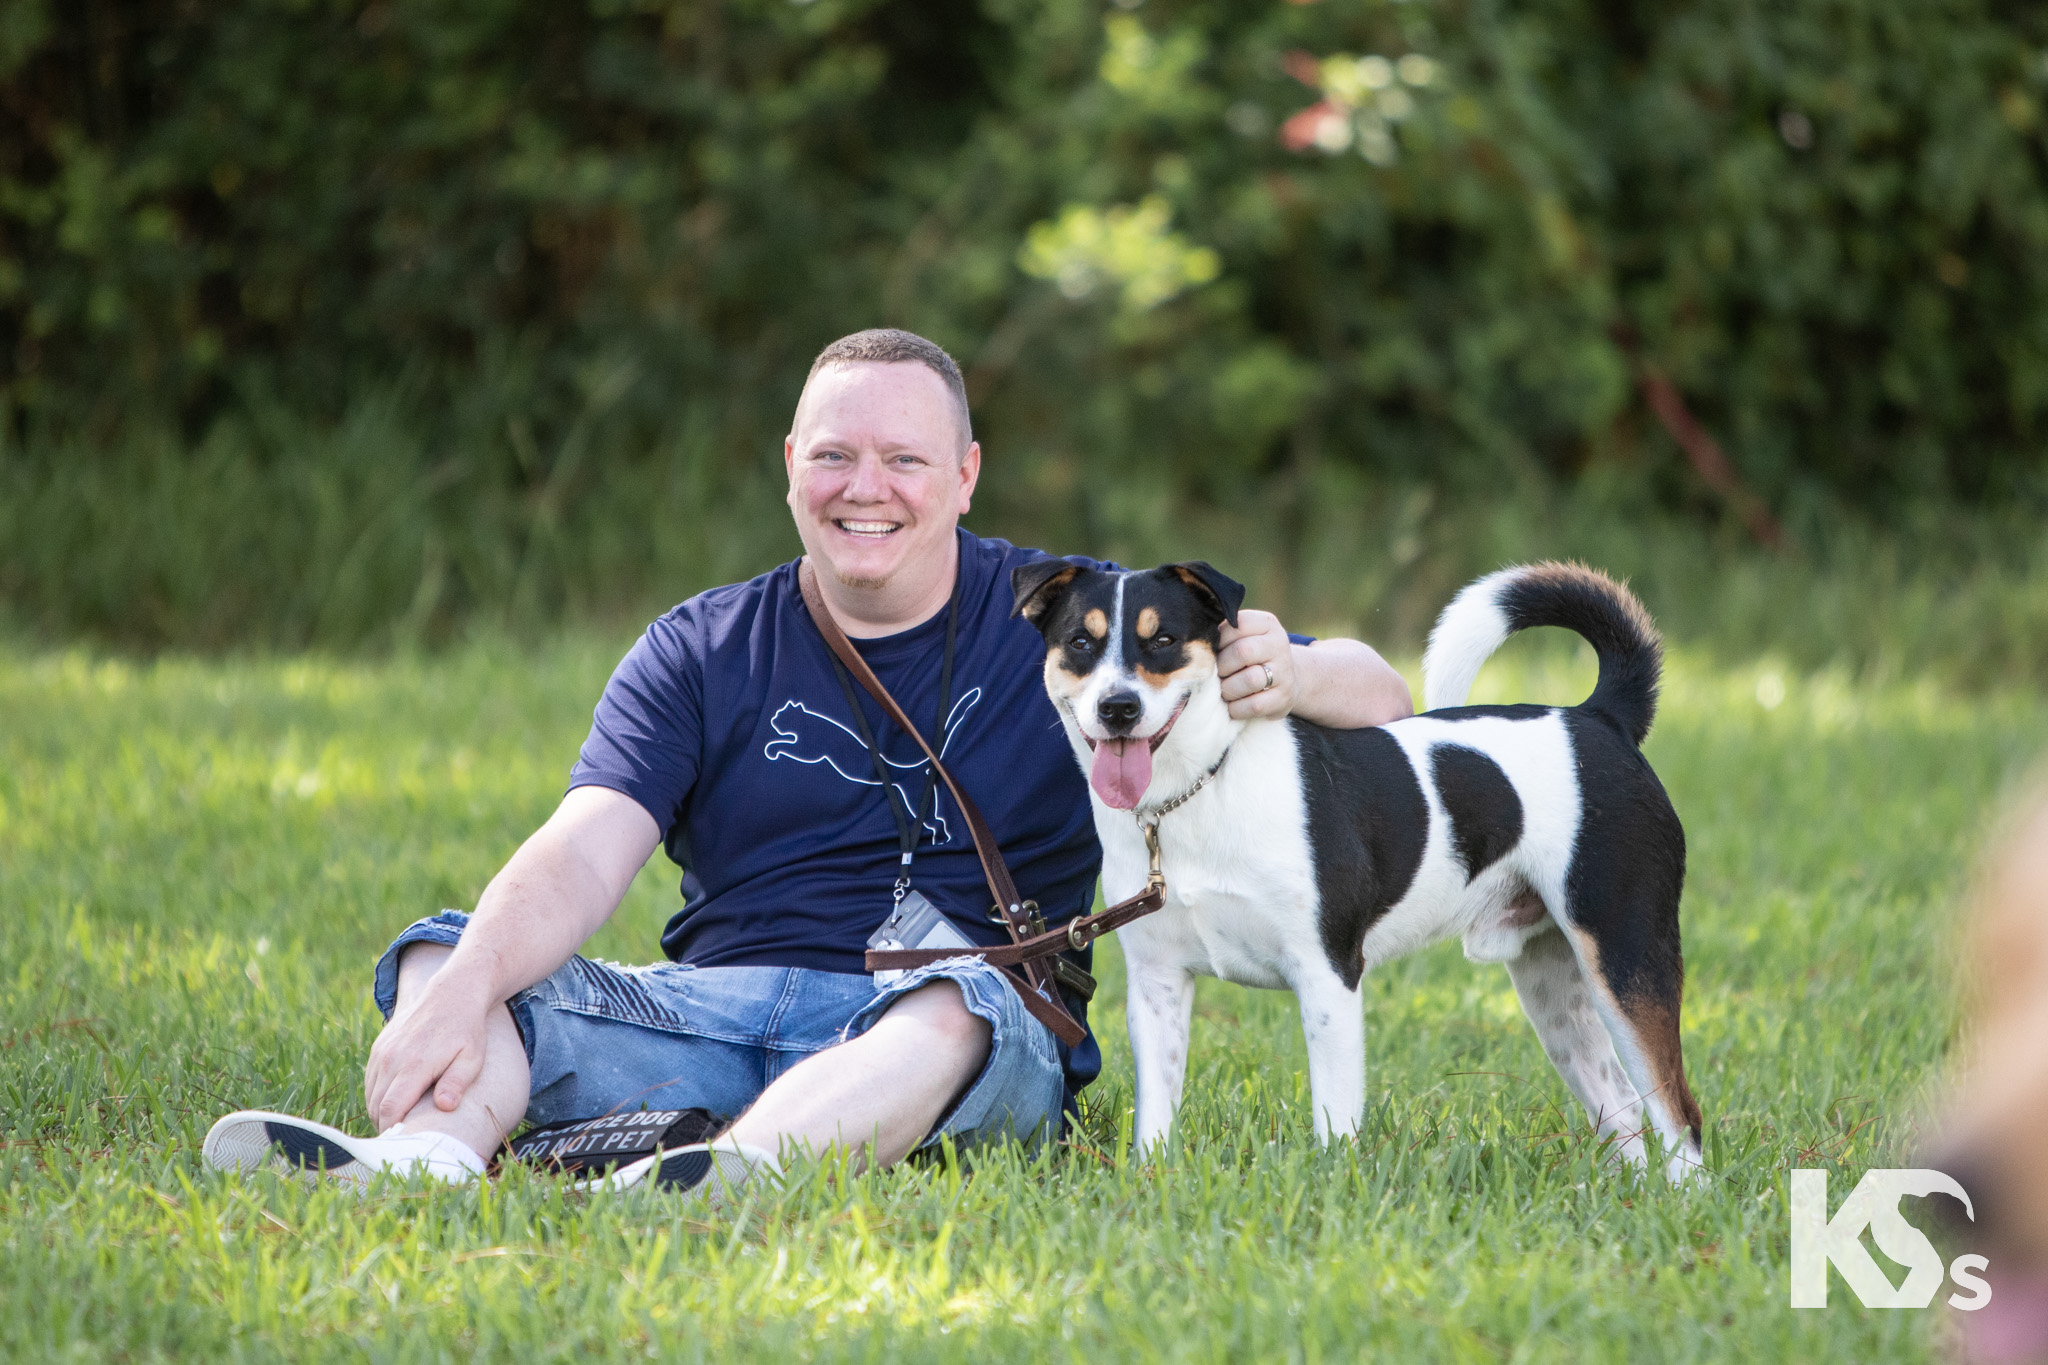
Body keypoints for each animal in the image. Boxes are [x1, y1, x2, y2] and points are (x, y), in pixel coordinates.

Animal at [1015, 560, 1703, 1178]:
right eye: (1081, 642)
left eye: (1162, 640)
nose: (1119, 708)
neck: (1198, 790)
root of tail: (1596, 718)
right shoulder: (1157, 986)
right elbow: (1156, 1120)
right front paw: (1151, 1184)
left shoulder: (1328, 978)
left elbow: (1335, 1124)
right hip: (1551, 981)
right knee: (1622, 1107)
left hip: (1626, 955)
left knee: (1678, 1115)